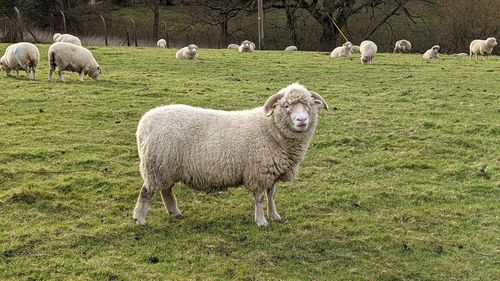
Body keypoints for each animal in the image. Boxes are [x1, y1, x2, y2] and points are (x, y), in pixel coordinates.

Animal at [133, 82, 328, 226]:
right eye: (286, 106)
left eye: (309, 105)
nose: (302, 120)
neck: (270, 129)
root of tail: (144, 122)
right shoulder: (257, 172)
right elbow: (259, 199)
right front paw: (261, 221)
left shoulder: (271, 172)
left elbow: (271, 195)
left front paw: (274, 215)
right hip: (156, 166)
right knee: (147, 192)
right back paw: (140, 219)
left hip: (165, 167)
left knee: (166, 190)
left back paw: (174, 212)